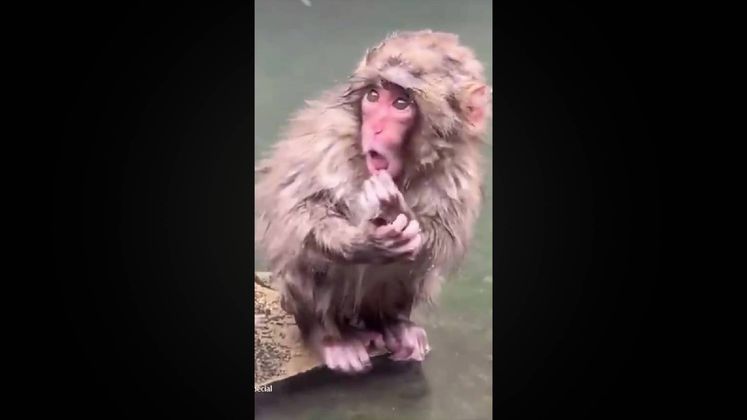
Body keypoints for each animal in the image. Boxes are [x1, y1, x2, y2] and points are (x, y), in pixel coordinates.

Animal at [255, 30, 491, 374]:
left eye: (401, 103)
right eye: (374, 96)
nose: (376, 127)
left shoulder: (458, 171)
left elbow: (442, 235)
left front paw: (400, 213)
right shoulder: (329, 140)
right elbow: (300, 211)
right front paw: (361, 242)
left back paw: (391, 324)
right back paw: (329, 337)